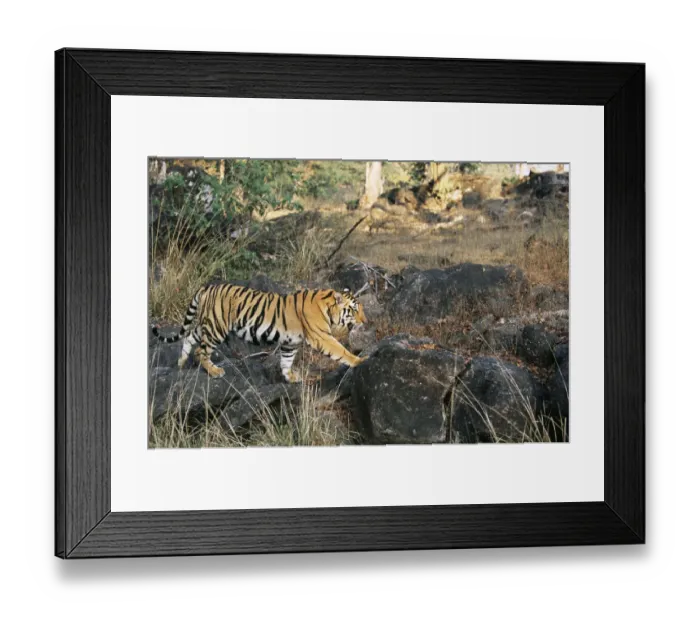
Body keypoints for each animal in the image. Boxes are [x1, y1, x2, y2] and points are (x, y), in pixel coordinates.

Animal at [151, 283, 368, 382]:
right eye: (354, 310)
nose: (365, 321)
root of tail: (207, 286)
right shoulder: (322, 337)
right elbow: (341, 351)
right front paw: (360, 360)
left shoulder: (290, 342)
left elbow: (286, 360)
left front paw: (290, 377)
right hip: (216, 328)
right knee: (201, 351)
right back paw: (214, 371)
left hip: (207, 324)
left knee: (189, 337)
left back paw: (180, 363)